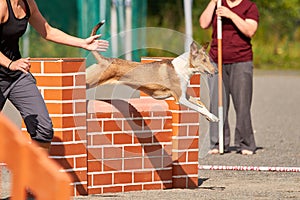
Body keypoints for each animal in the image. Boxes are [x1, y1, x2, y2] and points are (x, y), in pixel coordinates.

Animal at [85, 21, 219, 122]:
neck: (184, 68)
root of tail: (104, 60)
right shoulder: (180, 98)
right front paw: (212, 117)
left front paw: (213, 117)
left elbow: (202, 105)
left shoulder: (185, 95)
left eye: (208, 59)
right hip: (91, 79)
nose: (217, 71)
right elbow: (199, 107)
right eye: (204, 60)